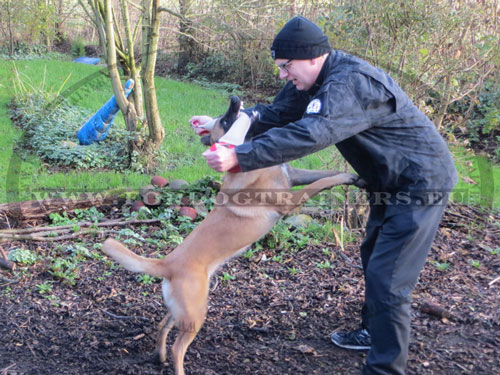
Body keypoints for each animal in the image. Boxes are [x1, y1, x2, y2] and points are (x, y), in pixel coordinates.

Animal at [102, 96, 364, 374]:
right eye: (226, 120)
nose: (235, 99)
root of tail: (166, 263)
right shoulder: (290, 201)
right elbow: (321, 183)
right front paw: (346, 176)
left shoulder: (294, 174)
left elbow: (322, 176)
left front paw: (355, 178)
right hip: (196, 313)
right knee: (178, 348)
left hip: (180, 309)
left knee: (162, 326)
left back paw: (159, 356)